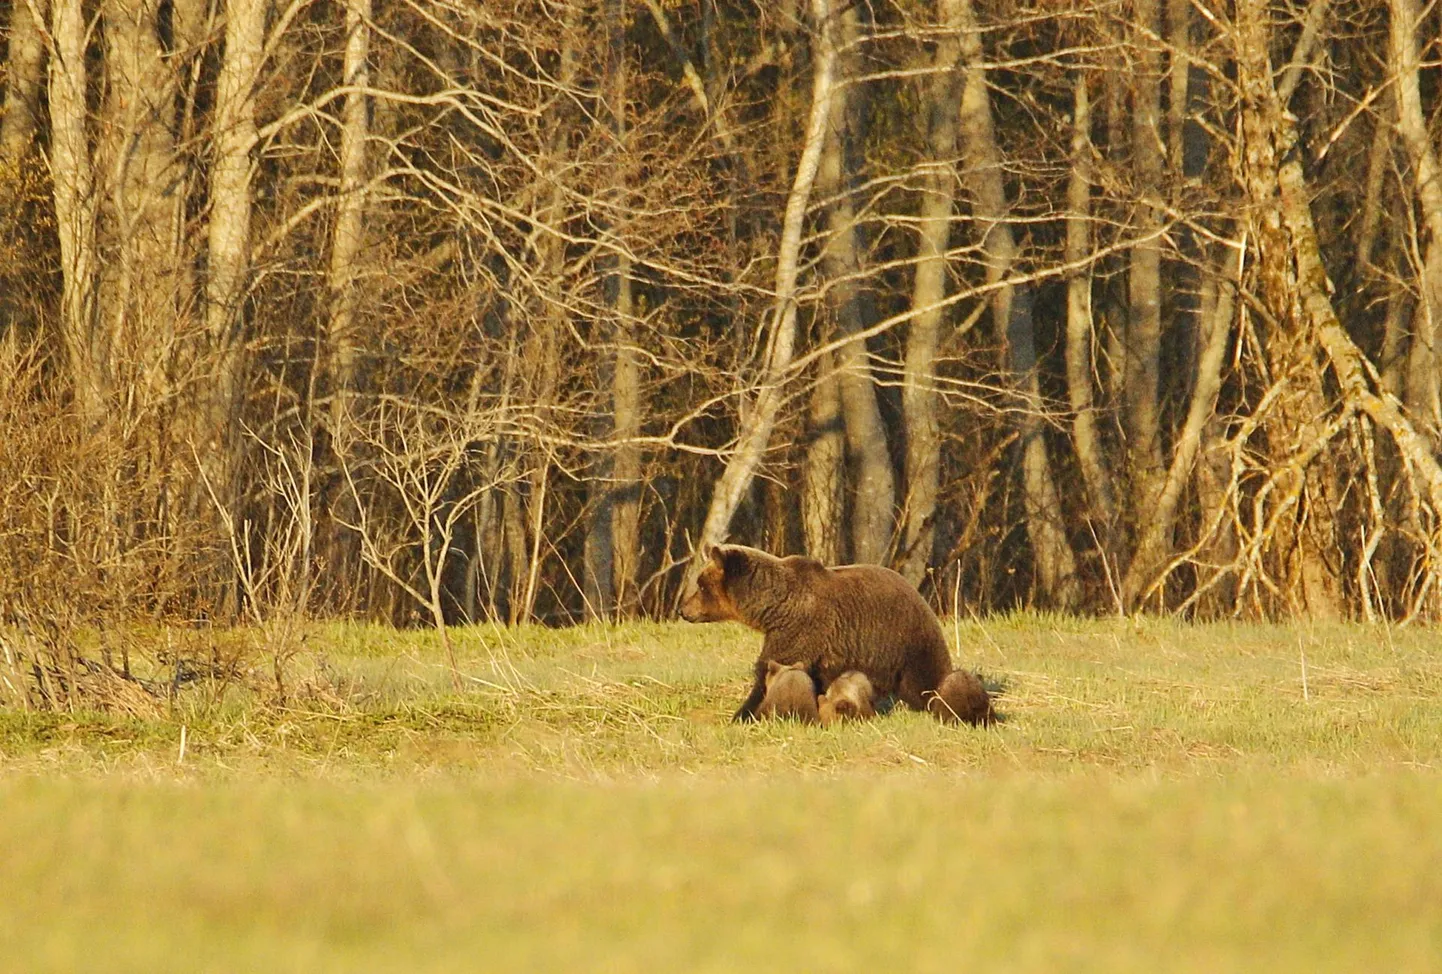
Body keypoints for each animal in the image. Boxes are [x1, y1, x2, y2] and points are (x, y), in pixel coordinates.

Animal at [674, 545, 992, 727]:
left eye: (700, 585)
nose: (683, 609)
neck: (774, 609)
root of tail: (921, 597)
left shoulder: (801, 630)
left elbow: (769, 671)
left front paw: (742, 715)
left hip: (907, 641)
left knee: (928, 683)